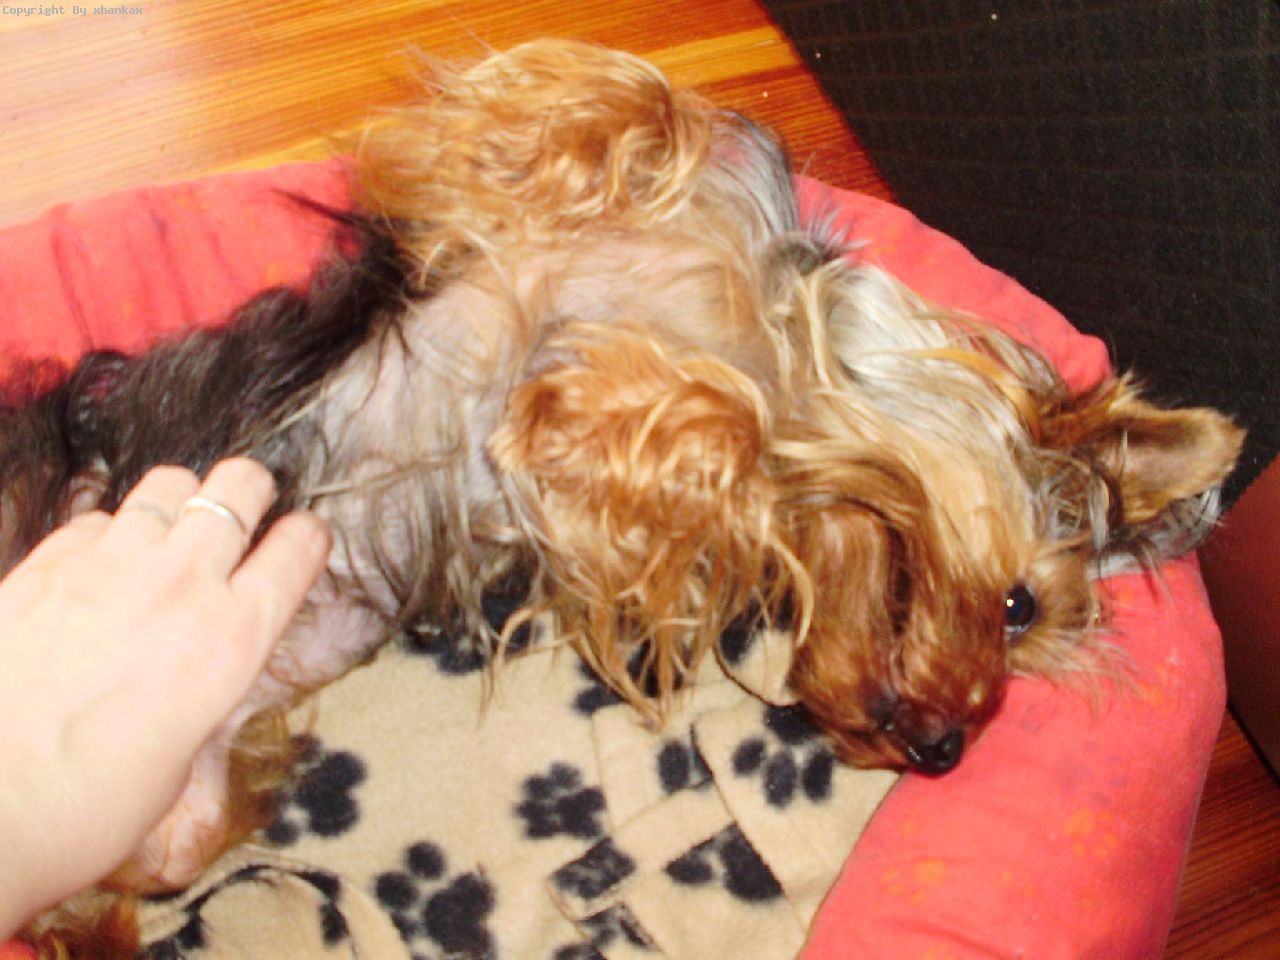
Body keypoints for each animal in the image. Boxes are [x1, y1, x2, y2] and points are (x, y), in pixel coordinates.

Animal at [4, 39, 1241, 955]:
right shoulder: (500, 202)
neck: (770, 341)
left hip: (171, 816)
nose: (943, 751)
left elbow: (705, 447)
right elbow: (629, 101)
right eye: (1018, 607)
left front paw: (588, 407)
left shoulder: (628, 552)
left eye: (1019, 641)